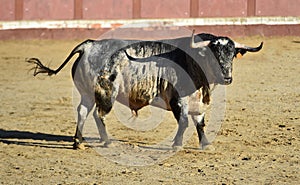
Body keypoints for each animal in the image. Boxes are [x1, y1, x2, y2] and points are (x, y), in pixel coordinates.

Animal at [27, 30, 262, 149]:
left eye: (232, 55)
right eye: (212, 54)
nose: (226, 77)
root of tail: (90, 44)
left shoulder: (198, 102)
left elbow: (200, 123)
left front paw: (205, 145)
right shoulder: (178, 100)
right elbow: (184, 122)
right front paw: (176, 145)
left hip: (87, 93)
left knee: (83, 112)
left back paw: (79, 143)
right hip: (106, 93)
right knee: (98, 114)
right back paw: (106, 141)